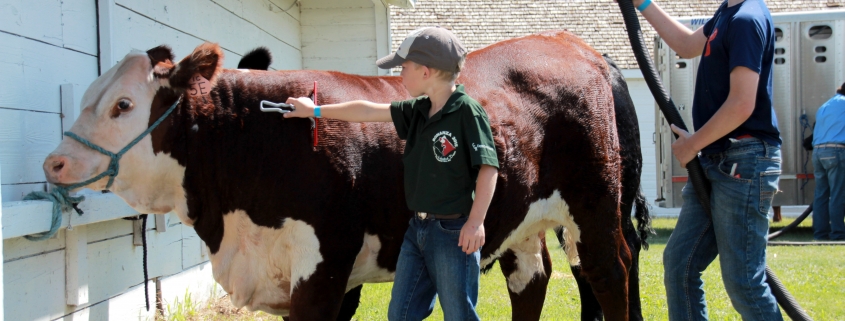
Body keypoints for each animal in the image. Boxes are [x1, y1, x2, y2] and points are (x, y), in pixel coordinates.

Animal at [42, 30, 648, 320]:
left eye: (122, 105)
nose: (55, 162)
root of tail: (574, 44)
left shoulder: (325, 266)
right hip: (522, 220)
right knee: (532, 279)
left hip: (596, 206)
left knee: (610, 273)